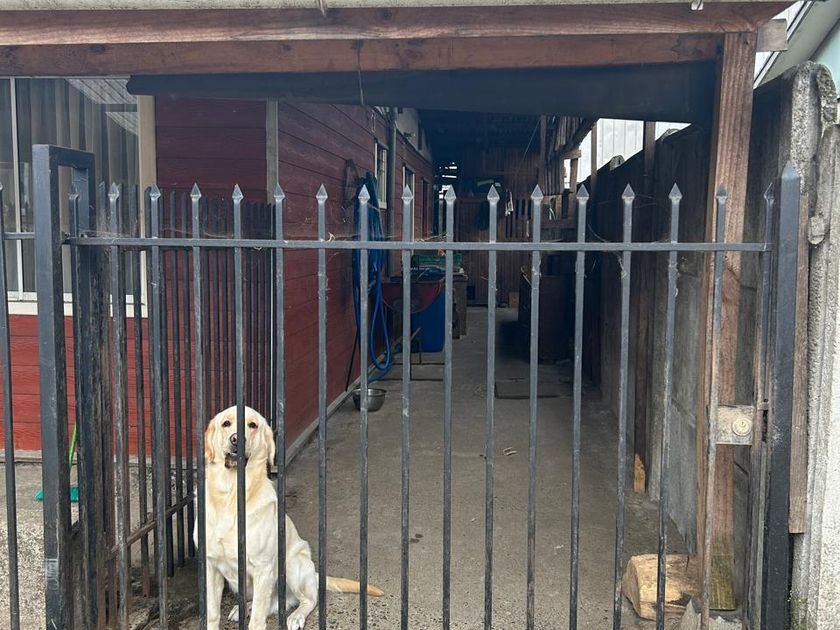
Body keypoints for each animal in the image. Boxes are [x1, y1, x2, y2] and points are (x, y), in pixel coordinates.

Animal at [195, 405, 384, 630]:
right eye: (226, 423)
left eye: (252, 425)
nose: (236, 439)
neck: (230, 496)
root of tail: (314, 573)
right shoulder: (211, 566)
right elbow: (213, 614)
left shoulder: (263, 568)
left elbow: (257, 621)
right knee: (271, 604)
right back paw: (245, 608)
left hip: (292, 563)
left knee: (308, 599)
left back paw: (295, 617)